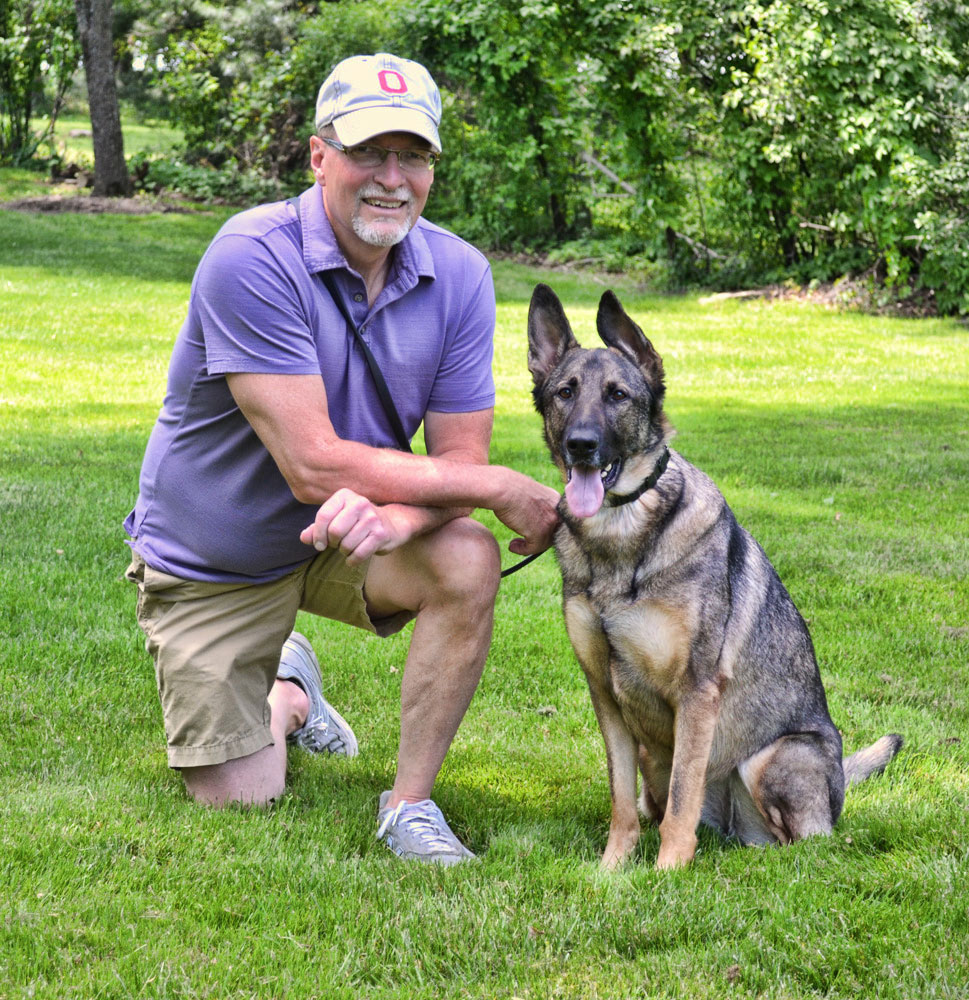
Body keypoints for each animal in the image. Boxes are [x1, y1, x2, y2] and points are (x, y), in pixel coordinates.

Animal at [528, 284, 900, 868]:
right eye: (565, 393)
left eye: (618, 396)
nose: (581, 445)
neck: (620, 536)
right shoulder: (605, 697)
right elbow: (620, 799)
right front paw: (612, 869)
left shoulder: (696, 693)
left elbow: (683, 797)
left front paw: (665, 873)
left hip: (774, 757)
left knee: (803, 844)